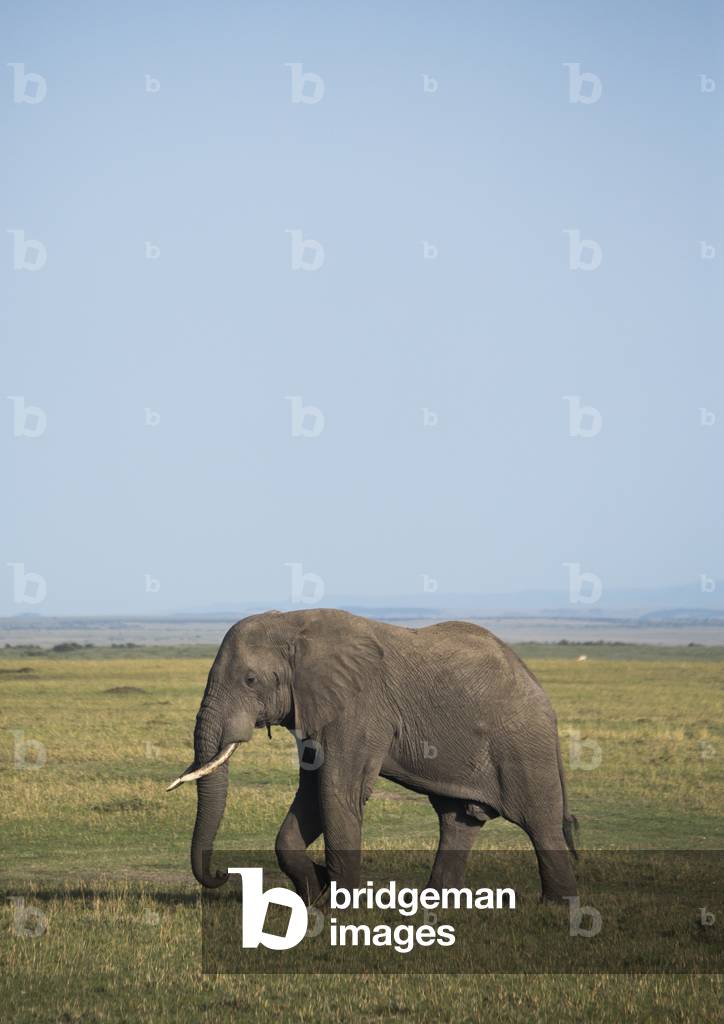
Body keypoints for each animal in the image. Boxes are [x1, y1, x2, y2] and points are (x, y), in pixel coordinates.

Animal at [167, 608, 578, 902]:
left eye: (250, 680)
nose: (221, 874)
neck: (292, 623)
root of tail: (542, 694)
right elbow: (311, 794)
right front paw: (314, 893)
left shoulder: (358, 709)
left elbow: (337, 791)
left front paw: (340, 908)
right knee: (457, 821)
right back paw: (437, 906)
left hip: (524, 746)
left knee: (539, 823)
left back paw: (557, 908)